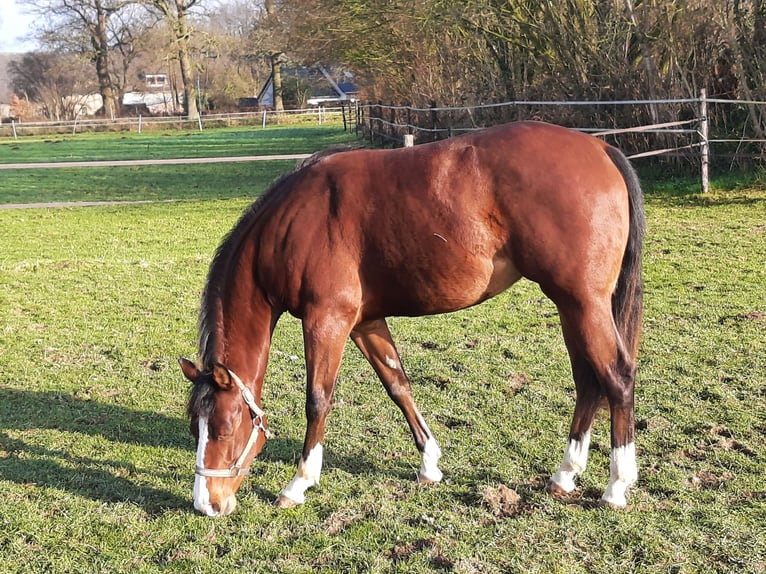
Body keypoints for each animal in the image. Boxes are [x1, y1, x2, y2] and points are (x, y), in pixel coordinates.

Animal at [179, 120, 644, 517]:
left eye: (224, 428)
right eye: (194, 429)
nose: (206, 503)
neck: (296, 223)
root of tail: (600, 149)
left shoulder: (326, 321)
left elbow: (318, 399)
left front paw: (299, 483)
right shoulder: (365, 323)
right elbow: (398, 385)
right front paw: (430, 464)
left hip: (583, 303)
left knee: (617, 377)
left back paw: (617, 485)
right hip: (571, 306)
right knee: (588, 382)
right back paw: (565, 475)